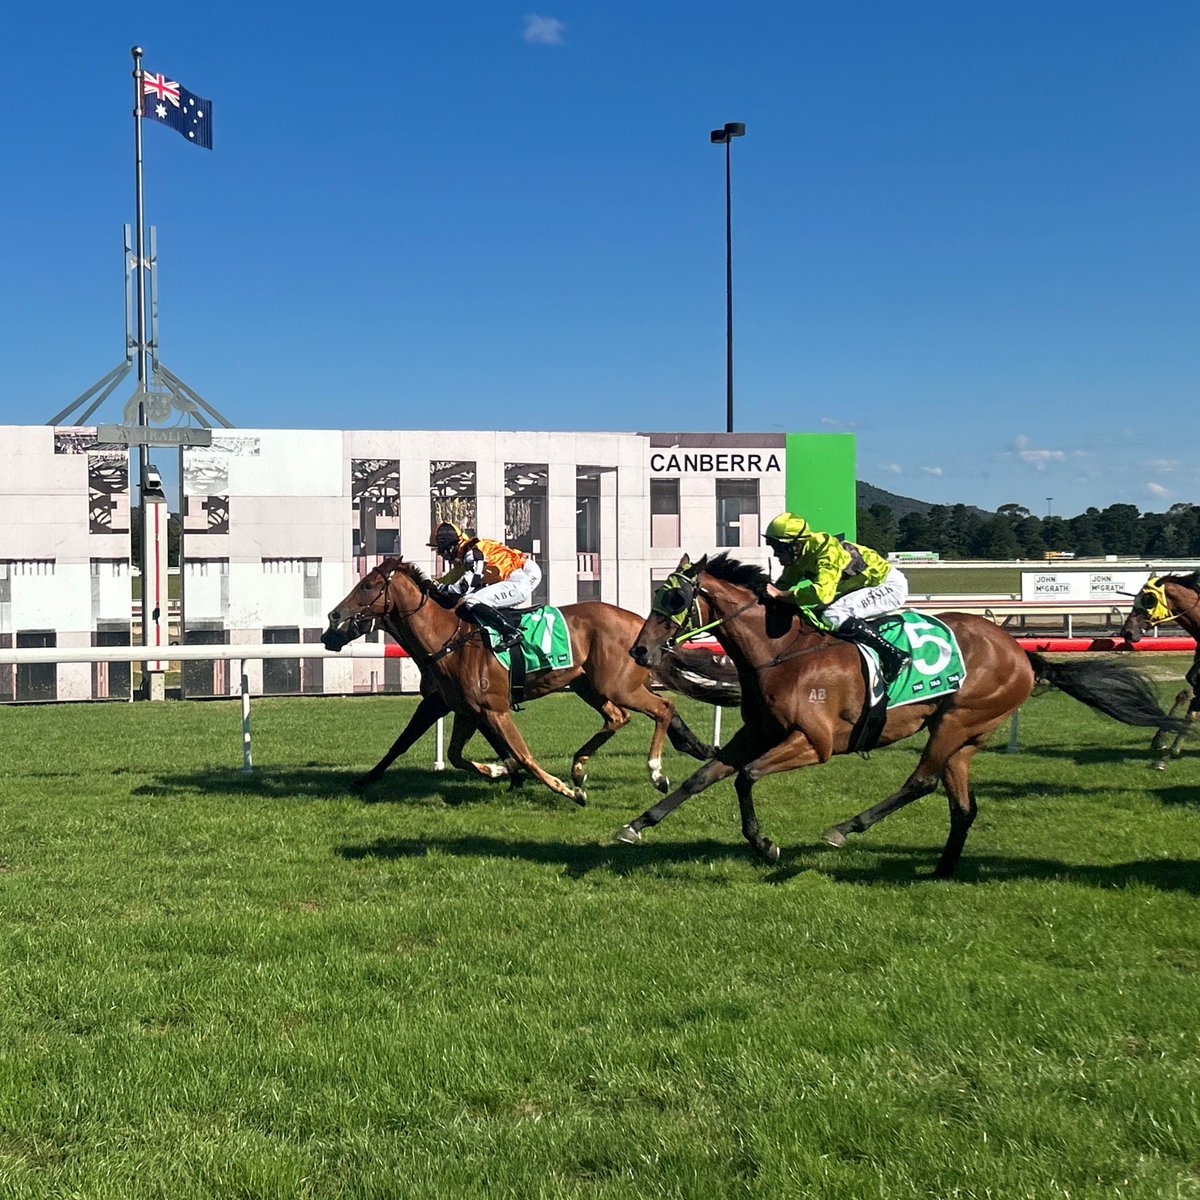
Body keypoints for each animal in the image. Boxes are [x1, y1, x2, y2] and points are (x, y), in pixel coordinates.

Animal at [624, 554, 1185, 883]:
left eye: (675, 597)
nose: (640, 650)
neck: (781, 652)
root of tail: (1023, 655)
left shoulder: (815, 742)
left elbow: (746, 775)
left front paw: (765, 845)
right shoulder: (759, 731)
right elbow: (704, 775)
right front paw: (636, 824)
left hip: (958, 721)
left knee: (921, 782)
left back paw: (845, 828)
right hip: (963, 735)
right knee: (962, 805)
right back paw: (941, 869)